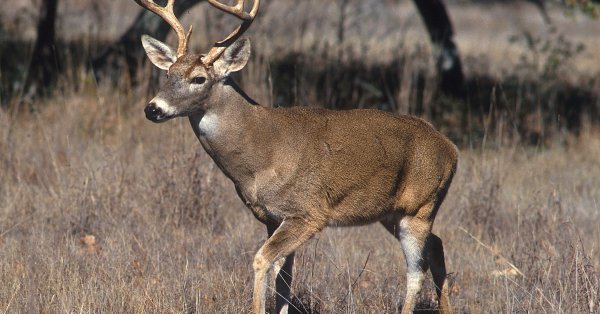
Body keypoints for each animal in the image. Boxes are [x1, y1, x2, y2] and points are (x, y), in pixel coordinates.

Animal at [136, 1, 460, 312]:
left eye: (199, 78)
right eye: (168, 74)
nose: (153, 108)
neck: (260, 155)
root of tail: (451, 149)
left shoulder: (308, 212)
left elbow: (261, 260)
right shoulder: (271, 216)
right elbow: (284, 277)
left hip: (420, 206)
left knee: (416, 271)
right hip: (391, 213)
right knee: (437, 246)